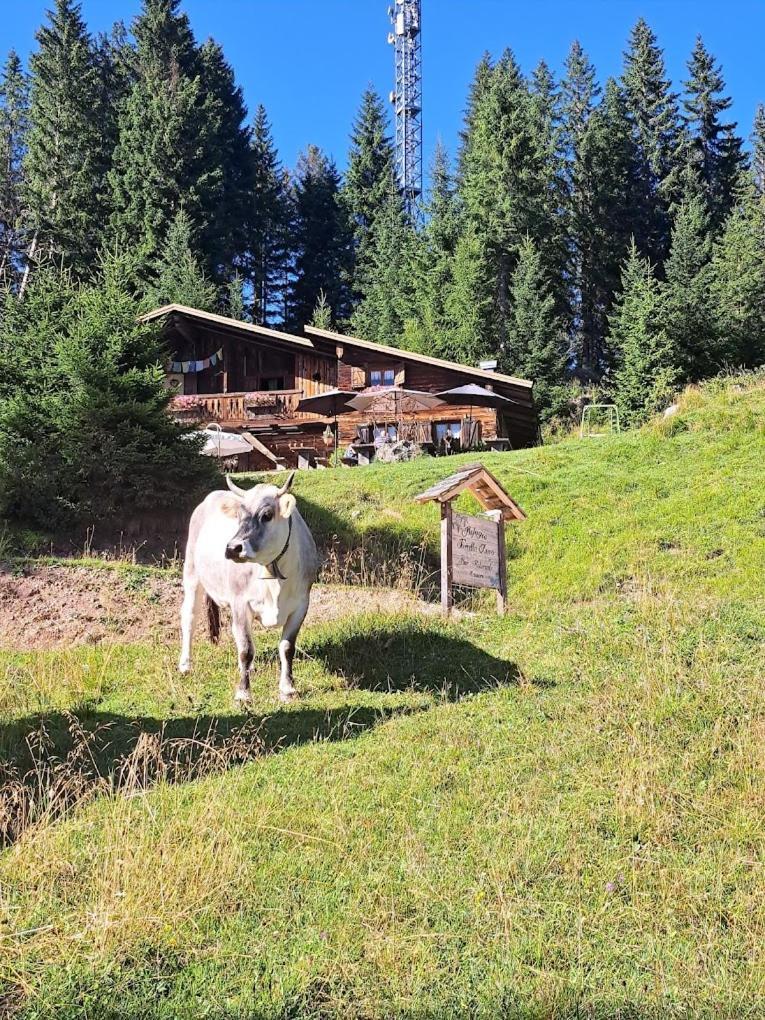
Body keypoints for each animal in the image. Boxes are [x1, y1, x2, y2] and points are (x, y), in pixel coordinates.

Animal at [179, 471, 320, 701]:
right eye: (238, 516)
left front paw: (287, 688)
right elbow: (245, 649)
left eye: (267, 515)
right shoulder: (240, 603)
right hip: (191, 573)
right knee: (189, 616)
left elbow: (287, 647)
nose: (232, 548)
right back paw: (185, 665)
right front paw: (243, 693)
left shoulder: (301, 605)